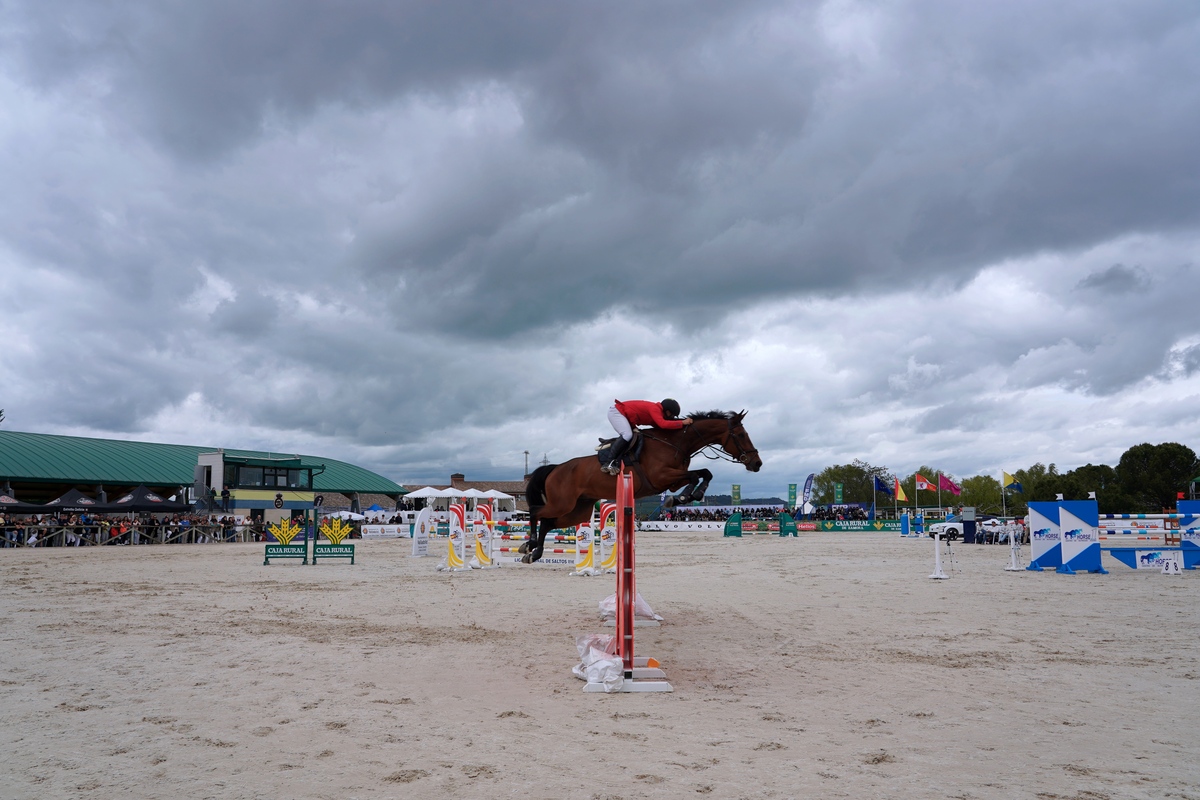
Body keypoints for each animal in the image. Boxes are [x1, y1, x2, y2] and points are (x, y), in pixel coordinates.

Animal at [520, 412, 763, 563]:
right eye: (741, 435)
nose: (757, 464)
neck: (676, 443)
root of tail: (555, 468)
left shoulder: (672, 480)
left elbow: (704, 473)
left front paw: (686, 496)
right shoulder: (662, 477)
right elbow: (696, 475)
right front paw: (683, 498)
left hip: (577, 510)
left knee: (548, 522)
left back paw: (533, 552)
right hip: (563, 503)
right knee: (536, 513)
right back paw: (529, 545)